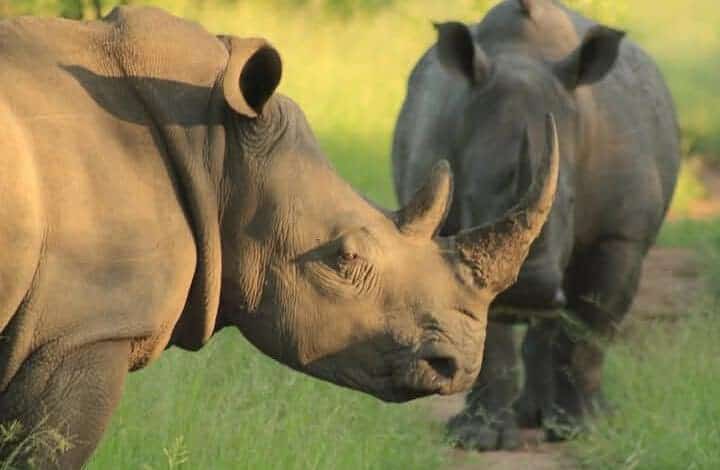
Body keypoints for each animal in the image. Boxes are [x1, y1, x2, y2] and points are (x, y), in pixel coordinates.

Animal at [392, 0, 680, 450]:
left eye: (573, 201)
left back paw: (578, 416)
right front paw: (479, 439)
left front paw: (579, 432)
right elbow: (485, 336)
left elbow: (587, 329)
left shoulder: (618, 236)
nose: (528, 292)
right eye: (469, 198)